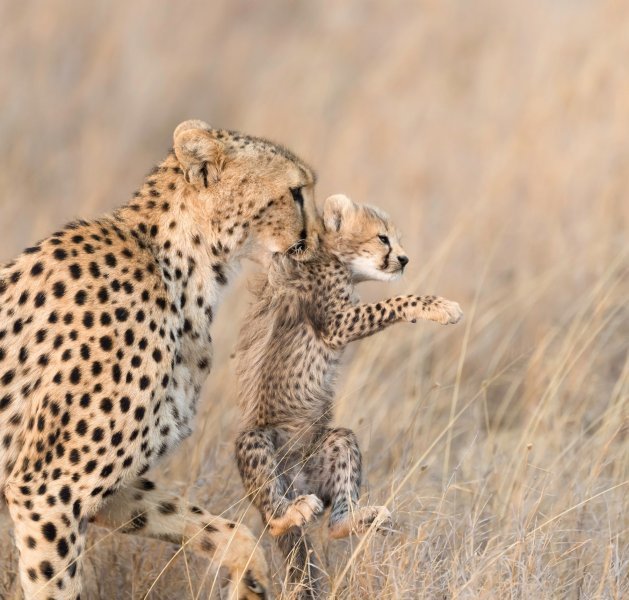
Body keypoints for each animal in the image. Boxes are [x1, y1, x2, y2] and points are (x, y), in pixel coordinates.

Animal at [0, 119, 318, 596]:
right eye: (296, 192)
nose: (318, 242)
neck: (182, 270)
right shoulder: (45, 491)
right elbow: (56, 587)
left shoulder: (102, 489)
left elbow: (223, 530)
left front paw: (251, 579)